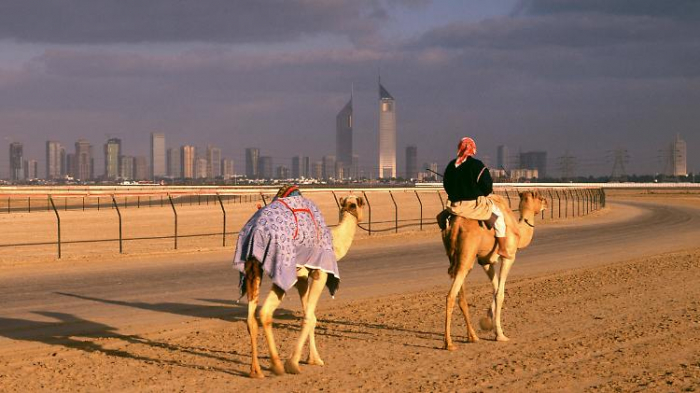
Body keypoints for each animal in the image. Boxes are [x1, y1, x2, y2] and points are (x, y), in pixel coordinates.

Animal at [235, 187, 366, 376]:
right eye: (361, 203)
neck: (335, 241)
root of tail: (254, 231)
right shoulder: (318, 273)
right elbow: (309, 317)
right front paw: (294, 363)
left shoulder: (302, 278)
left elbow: (311, 315)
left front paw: (313, 359)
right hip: (281, 268)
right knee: (265, 312)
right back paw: (277, 365)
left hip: (252, 268)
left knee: (250, 319)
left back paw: (256, 371)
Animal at [438, 191, 548, 348]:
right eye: (540, 197)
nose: (547, 202)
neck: (519, 231)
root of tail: (455, 225)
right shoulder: (509, 257)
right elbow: (500, 293)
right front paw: (500, 335)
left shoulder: (485, 261)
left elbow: (495, 289)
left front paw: (488, 322)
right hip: (467, 254)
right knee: (451, 296)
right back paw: (449, 344)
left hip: (456, 257)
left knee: (461, 296)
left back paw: (473, 337)